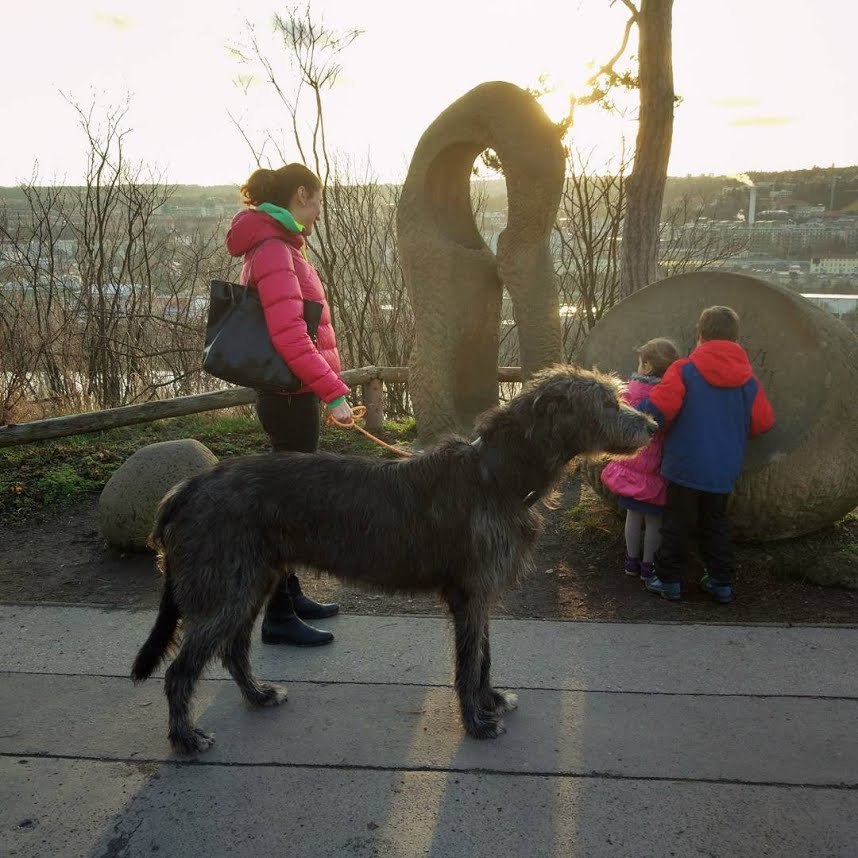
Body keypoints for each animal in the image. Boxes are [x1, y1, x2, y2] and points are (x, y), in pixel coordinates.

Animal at [132, 364, 656, 752]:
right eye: (606, 403)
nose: (652, 426)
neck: (497, 474)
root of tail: (184, 488)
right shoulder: (468, 594)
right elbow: (468, 661)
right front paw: (476, 722)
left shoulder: (480, 593)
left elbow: (484, 655)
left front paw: (489, 700)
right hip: (226, 588)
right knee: (181, 670)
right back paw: (185, 738)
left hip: (251, 582)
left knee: (234, 649)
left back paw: (258, 695)